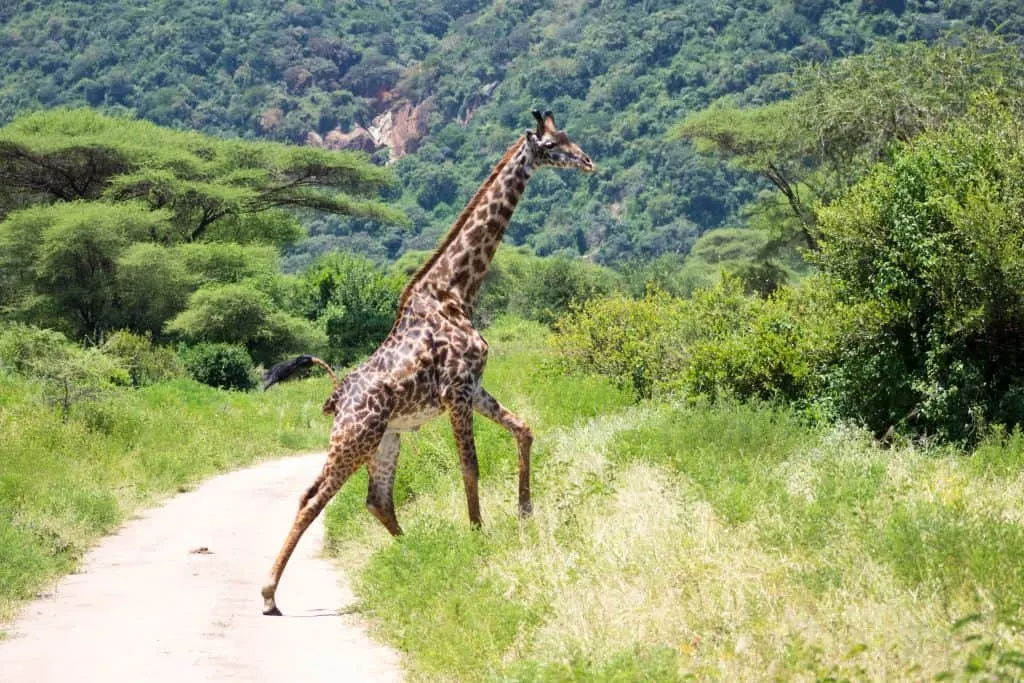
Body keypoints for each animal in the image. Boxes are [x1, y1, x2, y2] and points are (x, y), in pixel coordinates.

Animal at [260, 109, 598, 618]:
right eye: (554, 143)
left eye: (567, 136)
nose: (589, 161)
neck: (454, 291)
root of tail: (337, 393)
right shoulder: (456, 390)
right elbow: (470, 466)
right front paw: (479, 536)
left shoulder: (473, 386)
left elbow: (524, 428)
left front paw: (524, 512)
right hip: (356, 436)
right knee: (313, 497)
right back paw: (269, 595)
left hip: (386, 437)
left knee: (376, 500)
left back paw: (413, 551)